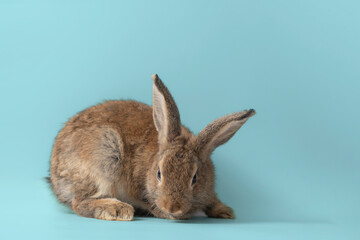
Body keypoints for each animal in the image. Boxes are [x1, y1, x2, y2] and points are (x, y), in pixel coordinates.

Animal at [49, 74, 255, 220]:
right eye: (159, 174)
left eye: (195, 178)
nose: (172, 207)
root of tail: (54, 177)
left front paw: (225, 211)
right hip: (105, 155)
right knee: (79, 202)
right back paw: (117, 209)